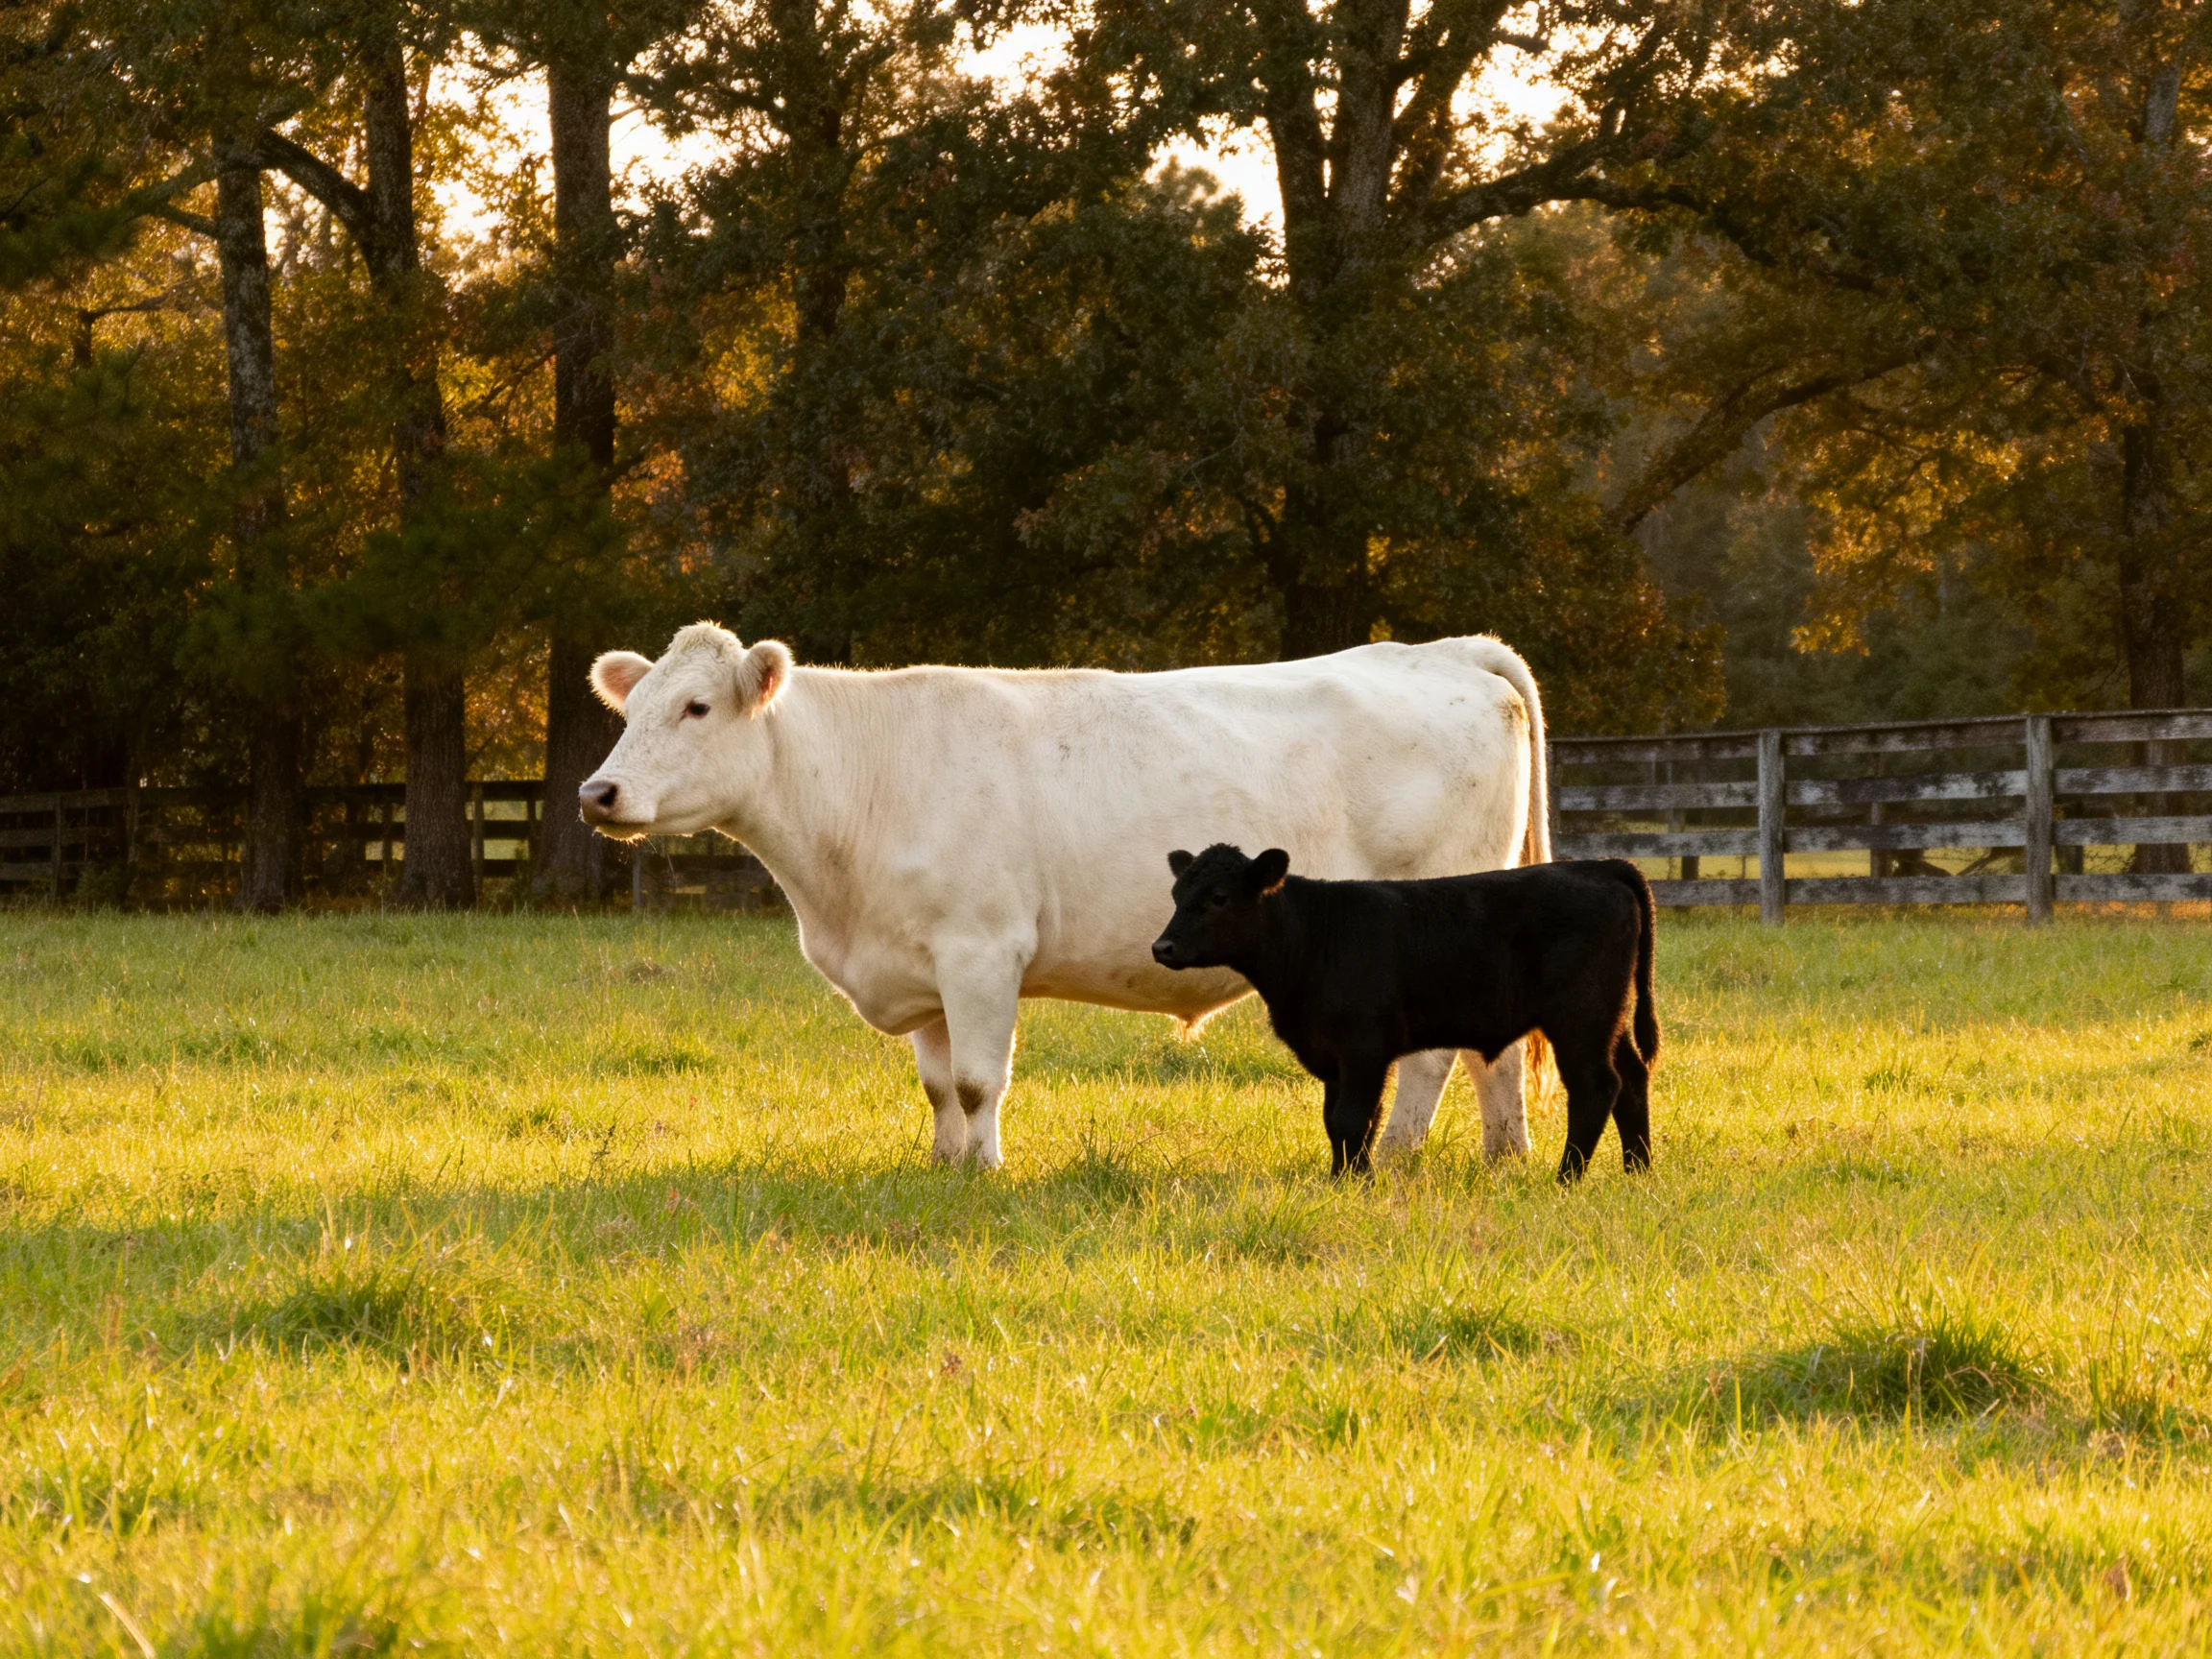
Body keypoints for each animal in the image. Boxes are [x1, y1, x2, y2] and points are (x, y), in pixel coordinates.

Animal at [577, 623, 1553, 1169]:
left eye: (697, 708)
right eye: (632, 708)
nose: (598, 793)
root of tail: (1443, 652)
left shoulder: (981, 951)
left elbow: (978, 1081)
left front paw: (986, 1171)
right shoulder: (921, 960)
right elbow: (937, 1085)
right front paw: (942, 1165)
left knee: (1433, 1059)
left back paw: (1397, 1156)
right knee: (1494, 1055)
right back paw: (1504, 1157)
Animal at [1149, 846, 1659, 1182]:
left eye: (1218, 896)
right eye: (1175, 893)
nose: (1162, 947)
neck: (1314, 936)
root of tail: (1602, 867)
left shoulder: (1364, 1047)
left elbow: (1352, 1118)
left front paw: (1358, 1183)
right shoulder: (1334, 1055)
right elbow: (1337, 1119)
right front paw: (1342, 1179)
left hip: (1581, 1016)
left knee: (1597, 1086)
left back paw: (1567, 1178)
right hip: (1610, 1017)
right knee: (1632, 1077)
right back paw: (1638, 1170)